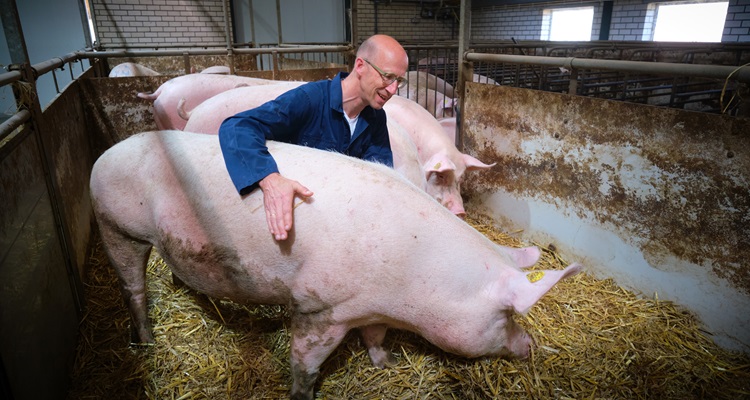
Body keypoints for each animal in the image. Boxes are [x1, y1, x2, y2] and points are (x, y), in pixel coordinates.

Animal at [91, 130, 584, 398]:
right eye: (507, 316)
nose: (530, 347)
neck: (412, 280)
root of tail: (104, 155)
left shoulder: (371, 308)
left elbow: (375, 337)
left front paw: (386, 364)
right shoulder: (318, 306)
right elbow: (304, 363)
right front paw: (304, 393)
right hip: (116, 226)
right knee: (133, 286)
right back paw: (147, 340)